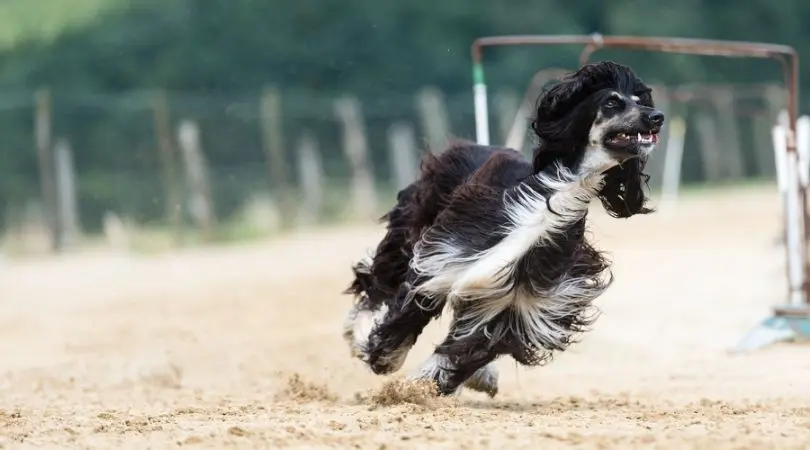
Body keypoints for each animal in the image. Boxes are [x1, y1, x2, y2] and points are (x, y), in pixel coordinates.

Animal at [340, 60, 664, 398]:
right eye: (612, 102)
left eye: (639, 101)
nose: (658, 117)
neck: (557, 194)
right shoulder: (442, 261)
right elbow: (404, 319)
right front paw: (382, 357)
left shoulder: (514, 304)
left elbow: (467, 348)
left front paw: (428, 385)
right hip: (413, 224)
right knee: (377, 279)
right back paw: (357, 331)